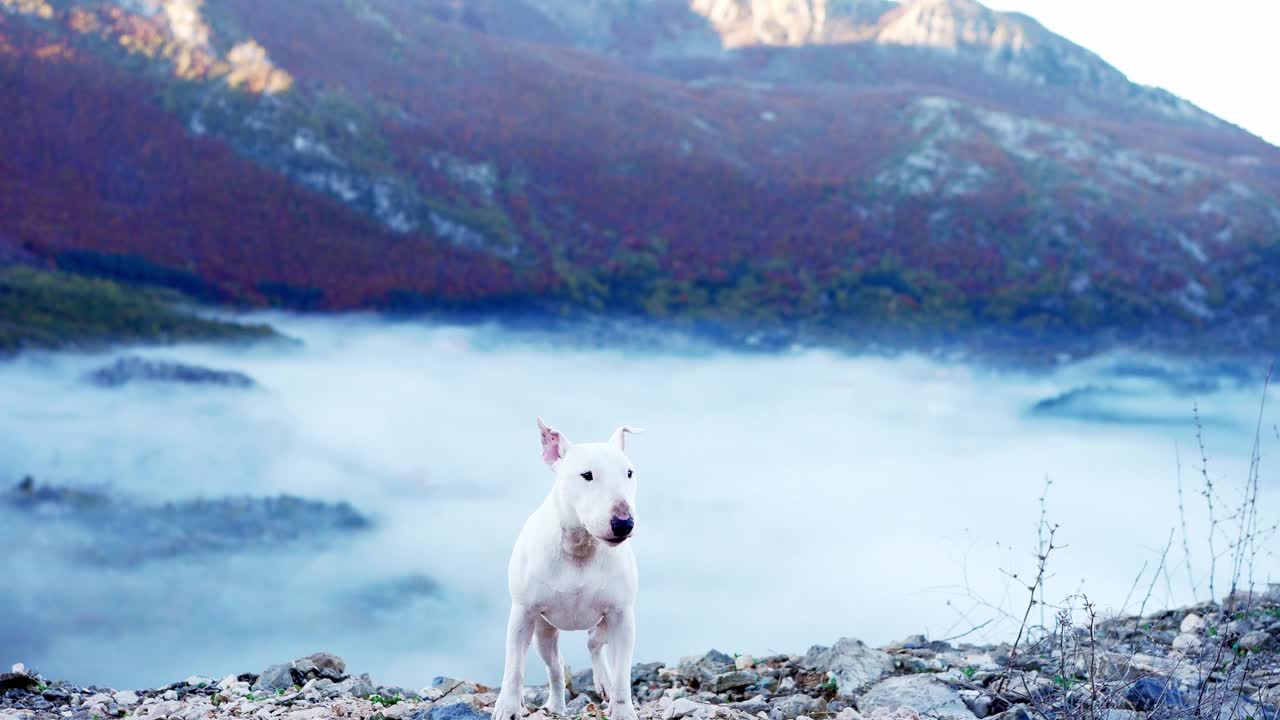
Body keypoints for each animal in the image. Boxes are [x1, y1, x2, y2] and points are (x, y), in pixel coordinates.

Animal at [494, 415, 645, 717]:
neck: (580, 548)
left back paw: (603, 683)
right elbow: (514, 668)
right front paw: (507, 708)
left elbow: (623, 673)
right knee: (555, 668)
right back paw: (555, 706)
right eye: (586, 475)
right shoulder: (523, 614)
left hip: (604, 622)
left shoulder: (622, 616)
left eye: (629, 473)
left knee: (594, 642)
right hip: (544, 632)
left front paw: (623, 711)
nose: (624, 523)